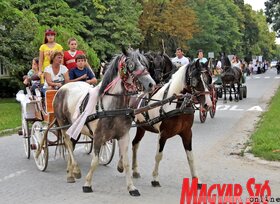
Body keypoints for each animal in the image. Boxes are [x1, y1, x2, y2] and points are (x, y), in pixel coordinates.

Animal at [52, 48, 155, 196]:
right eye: (131, 65)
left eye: (144, 63)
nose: (151, 84)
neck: (112, 107)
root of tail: (63, 87)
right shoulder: (98, 136)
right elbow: (94, 161)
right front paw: (87, 184)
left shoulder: (124, 135)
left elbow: (126, 162)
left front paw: (131, 187)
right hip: (63, 124)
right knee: (68, 143)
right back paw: (75, 170)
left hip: (76, 128)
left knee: (71, 144)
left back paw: (70, 172)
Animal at [126, 58, 211, 186]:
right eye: (196, 80)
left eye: (209, 79)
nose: (208, 104)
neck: (178, 104)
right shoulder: (163, 134)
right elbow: (158, 155)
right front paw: (155, 178)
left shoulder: (187, 133)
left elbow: (190, 157)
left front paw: (196, 179)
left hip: (141, 127)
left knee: (135, 144)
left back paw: (135, 170)